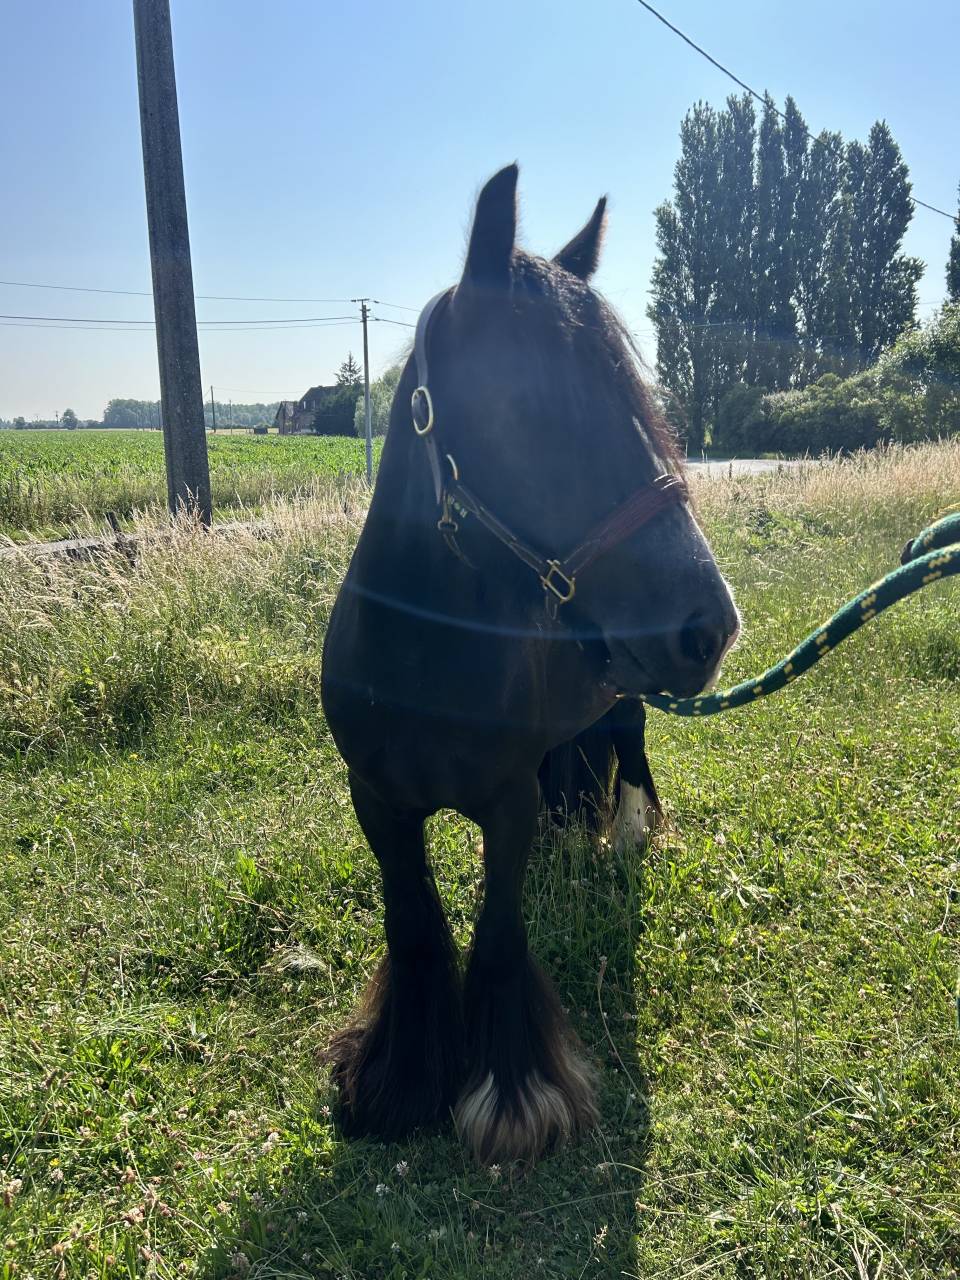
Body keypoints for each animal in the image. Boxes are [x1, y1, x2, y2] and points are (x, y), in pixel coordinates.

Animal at [320, 164, 740, 1163]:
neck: (424, 655)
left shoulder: (504, 803)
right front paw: (399, 1082)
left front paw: (511, 1097)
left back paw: (624, 832)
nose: (710, 627)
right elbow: (414, 922)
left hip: (628, 689)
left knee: (629, 740)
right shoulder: (376, 800)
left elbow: (500, 928)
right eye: (544, 409)